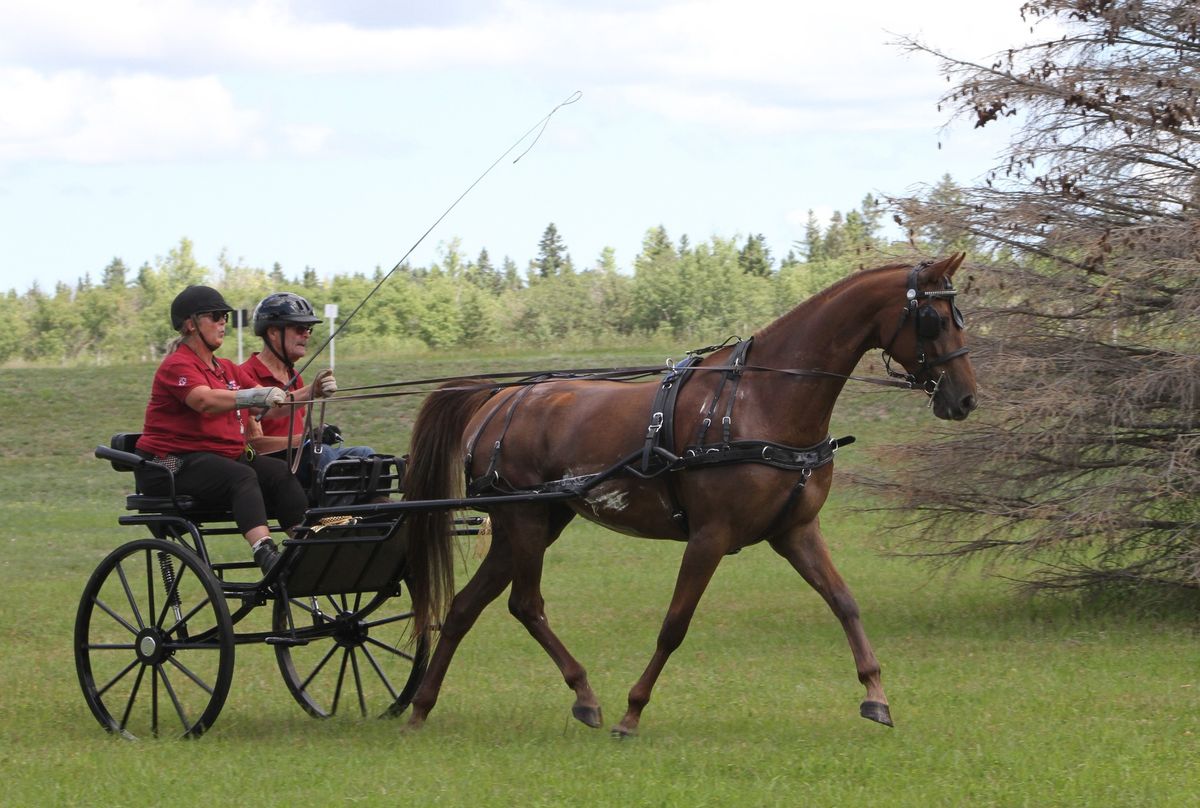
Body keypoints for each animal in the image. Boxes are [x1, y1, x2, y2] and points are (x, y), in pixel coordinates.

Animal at [400, 255, 974, 734]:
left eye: (958, 314)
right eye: (934, 319)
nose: (966, 397)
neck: (762, 399)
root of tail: (498, 397)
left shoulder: (795, 531)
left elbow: (845, 603)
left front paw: (875, 694)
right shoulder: (710, 536)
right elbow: (674, 625)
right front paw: (632, 712)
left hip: (535, 522)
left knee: (467, 607)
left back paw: (425, 706)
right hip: (525, 520)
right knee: (525, 604)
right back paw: (580, 695)